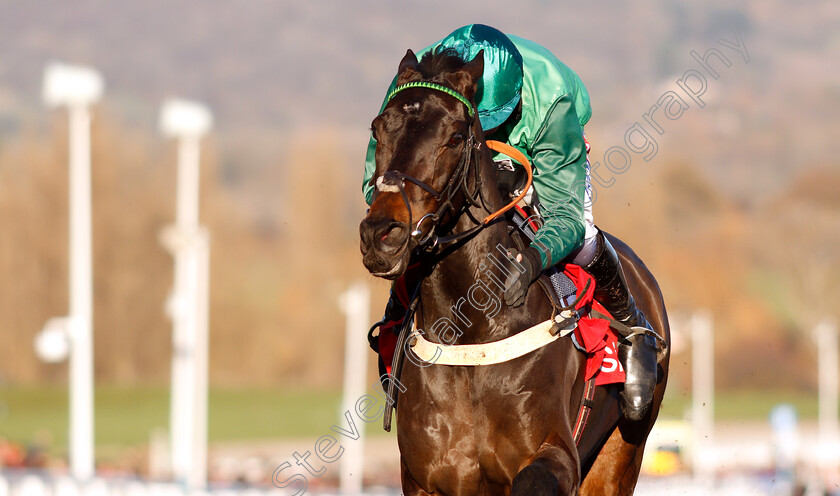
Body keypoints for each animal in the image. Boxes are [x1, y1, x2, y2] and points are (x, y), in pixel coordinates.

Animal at [358, 47, 672, 496]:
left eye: (455, 138)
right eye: (378, 129)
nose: (382, 234)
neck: (473, 333)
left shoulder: (556, 452)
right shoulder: (424, 477)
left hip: (620, 456)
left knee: (587, 236)